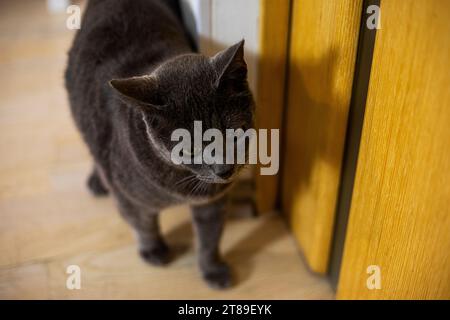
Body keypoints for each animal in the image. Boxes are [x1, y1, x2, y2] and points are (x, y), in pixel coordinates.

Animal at [63, 0, 255, 288]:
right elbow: (141, 223)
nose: (224, 170)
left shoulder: (214, 202)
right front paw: (153, 250)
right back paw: (97, 181)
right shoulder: (127, 195)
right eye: (188, 149)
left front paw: (212, 270)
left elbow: (210, 236)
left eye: (234, 133)